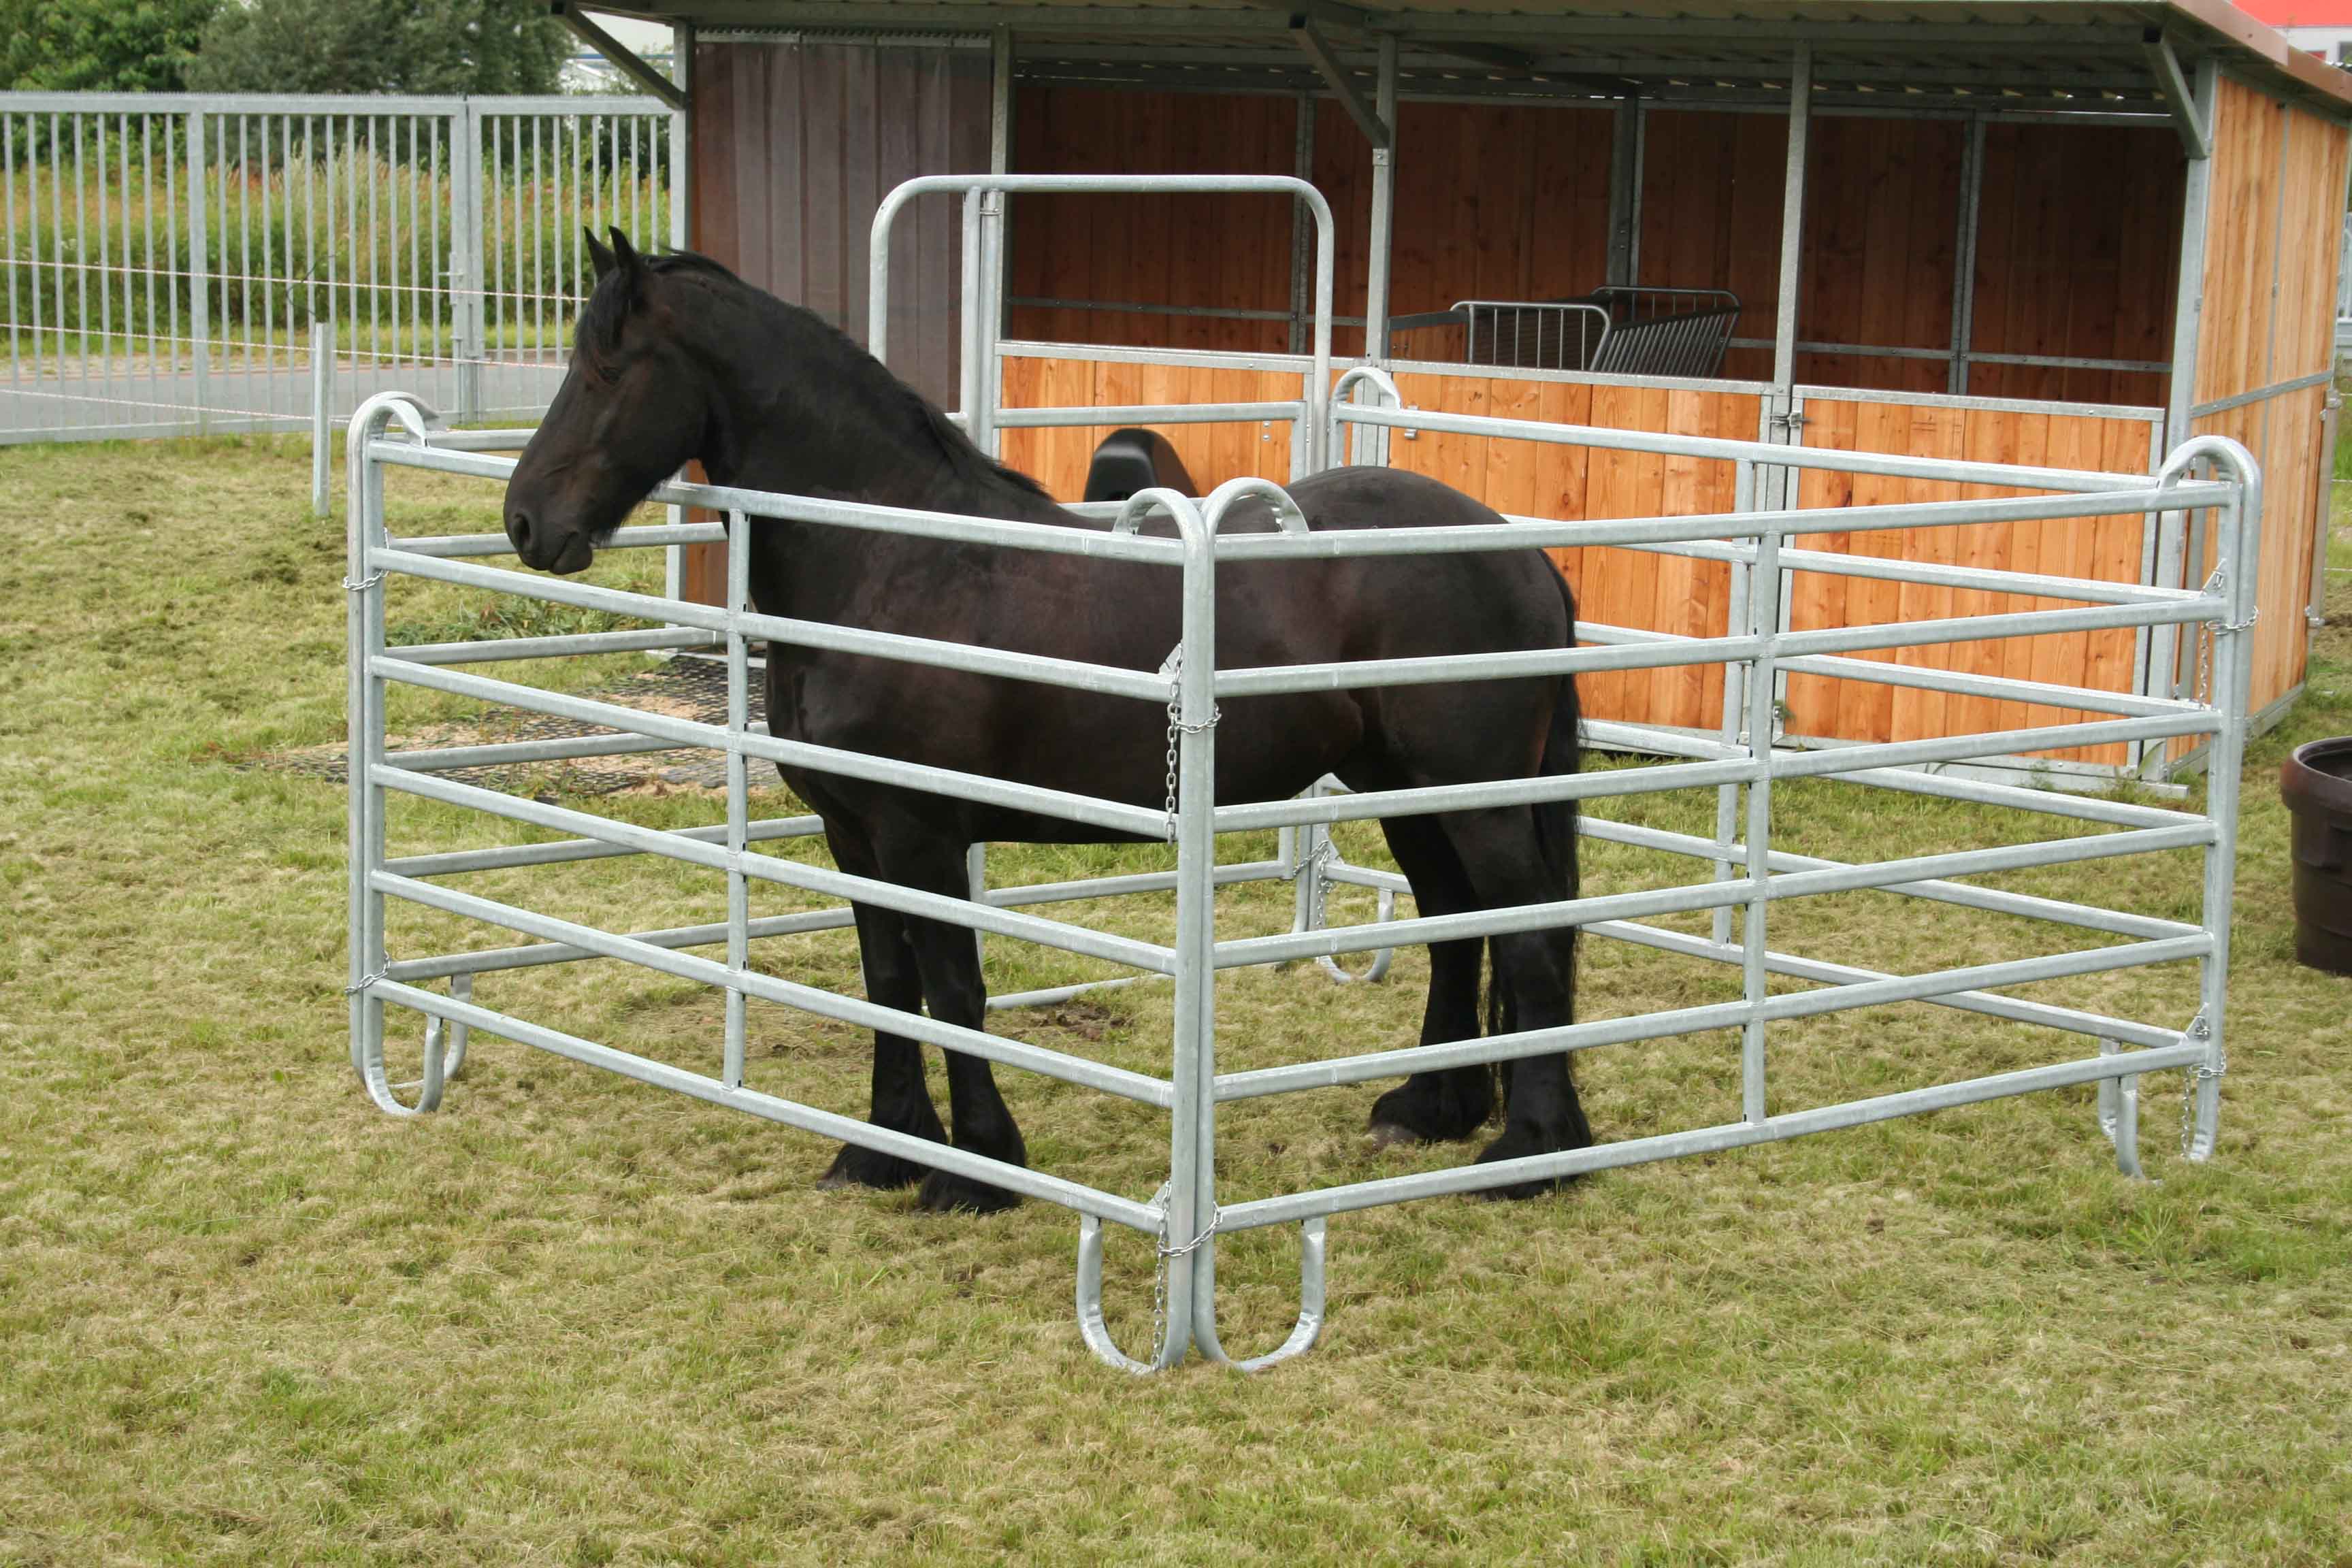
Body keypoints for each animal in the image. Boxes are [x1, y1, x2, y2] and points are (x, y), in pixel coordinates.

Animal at [501, 227, 1592, 1212]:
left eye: (605, 368)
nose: (525, 522)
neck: (893, 559)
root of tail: (1522, 554)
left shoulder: (921, 835)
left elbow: (954, 993)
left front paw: (977, 1171)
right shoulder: (852, 833)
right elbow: (887, 986)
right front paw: (880, 1155)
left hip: (1481, 798)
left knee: (1529, 937)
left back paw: (1532, 1155)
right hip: (1408, 790)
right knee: (1458, 928)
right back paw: (1433, 1110)